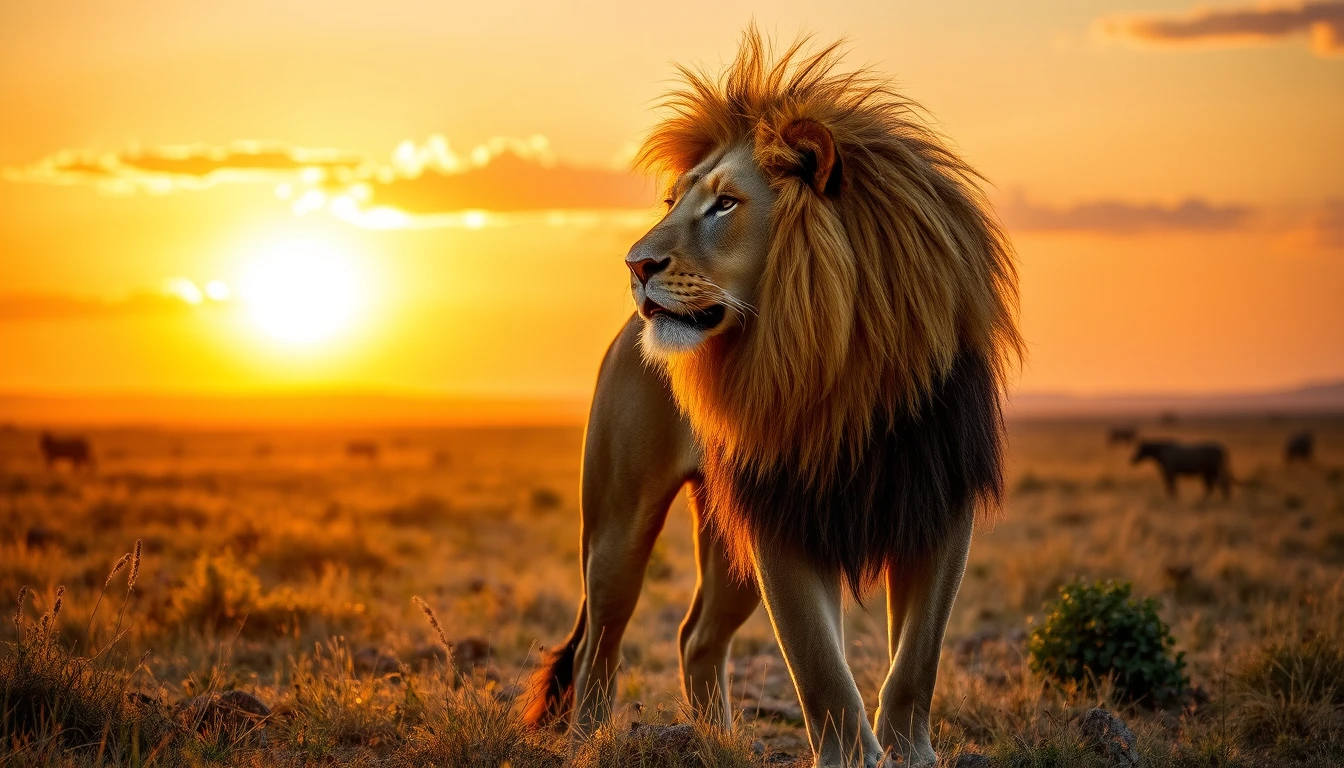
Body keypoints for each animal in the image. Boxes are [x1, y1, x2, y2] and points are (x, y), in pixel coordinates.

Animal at [525, 29, 1022, 767]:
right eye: (673, 201)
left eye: (725, 204)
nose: (635, 266)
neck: (841, 362)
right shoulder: (782, 515)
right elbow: (821, 668)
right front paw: (853, 758)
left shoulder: (937, 506)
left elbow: (915, 662)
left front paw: (910, 754)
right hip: (618, 524)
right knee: (597, 644)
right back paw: (590, 743)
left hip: (726, 538)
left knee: (696, 636)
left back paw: (715, 742)